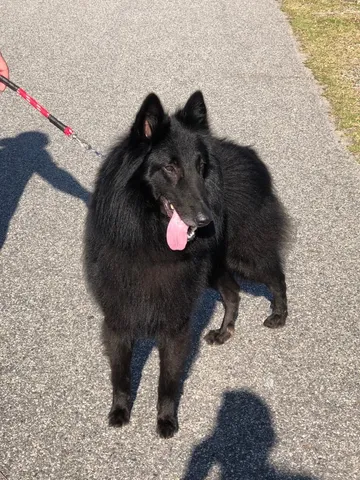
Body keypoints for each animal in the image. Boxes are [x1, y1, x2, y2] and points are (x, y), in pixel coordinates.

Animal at [83, 90, 288, 438]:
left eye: (201, 166)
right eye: (170, 167)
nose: (206, 221)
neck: (149, 238)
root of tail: (252, 155)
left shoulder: (176, 324)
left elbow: (168, 380)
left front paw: (166, 420)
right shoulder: (118, 319)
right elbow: (121, 375)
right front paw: (120, 411)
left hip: (243, 256)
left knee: (277, 275)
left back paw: (279, 315)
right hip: (216, 267)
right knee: (233, 292)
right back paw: (223, 332)